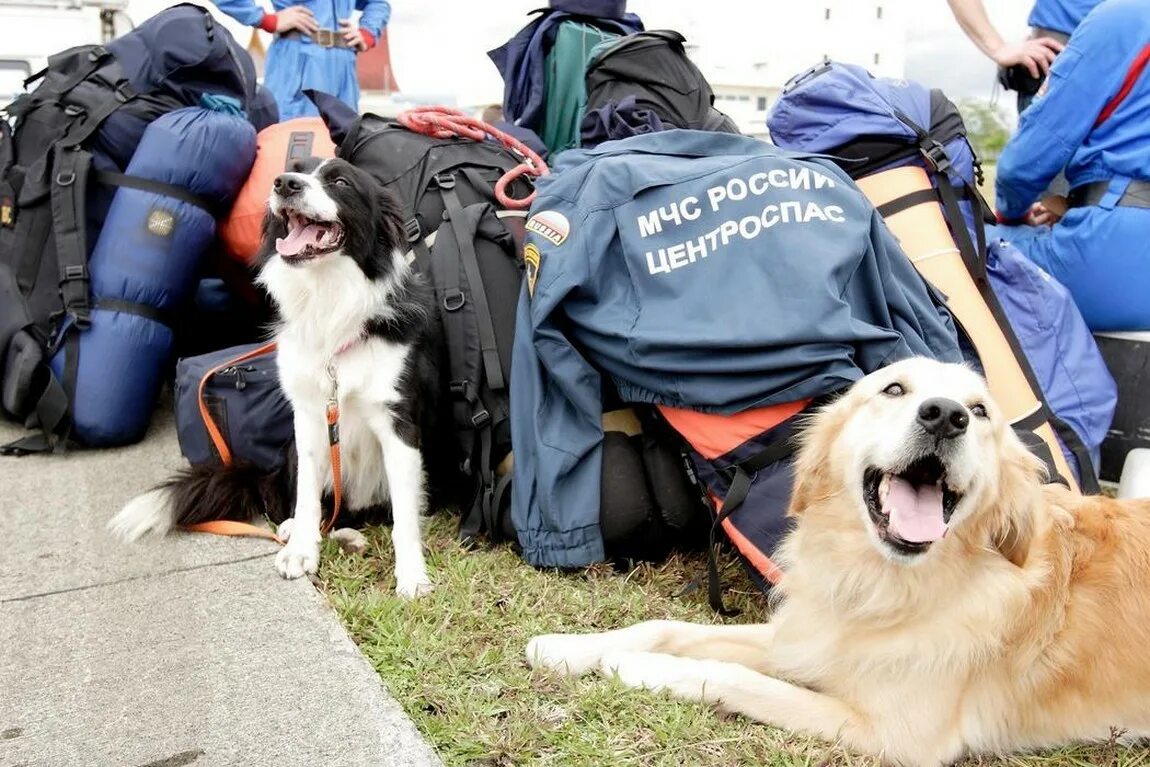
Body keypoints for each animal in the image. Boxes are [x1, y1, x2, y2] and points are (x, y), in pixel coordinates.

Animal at [526, 361, 1150, 767]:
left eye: (980, 412)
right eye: (894, 389)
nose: (945, 416)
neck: (881, 585)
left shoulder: (895, 734)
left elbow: (734, 677)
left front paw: (637, 668)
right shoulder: (808, 637)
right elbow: (665, 627)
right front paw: (567, 648)